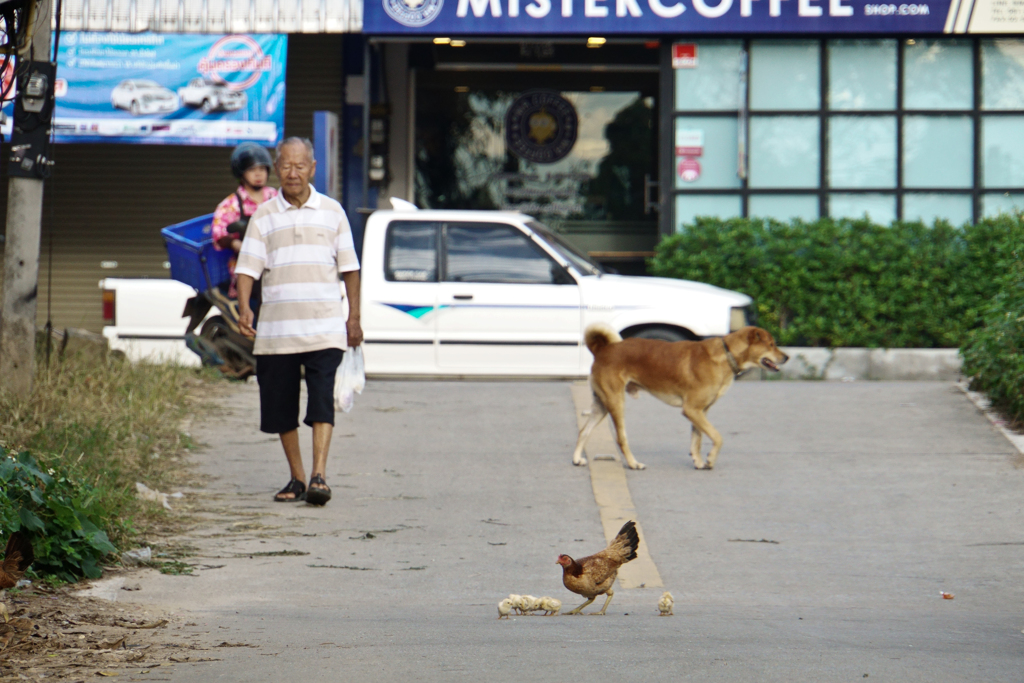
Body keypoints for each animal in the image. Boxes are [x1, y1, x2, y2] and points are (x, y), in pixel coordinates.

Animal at [573, 325, 786, 471]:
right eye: (771, 344)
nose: (787, 357)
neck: (727, 355)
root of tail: (602, 350)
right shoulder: (692, 410)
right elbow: (717, 437)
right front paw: (710, 459)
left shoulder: (699, 412)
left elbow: (697, 439)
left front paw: (698, 461)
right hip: (616, 403)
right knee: (621, 438)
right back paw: (634, 463)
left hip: (601, 405)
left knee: (583, 431)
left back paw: (576, 459)